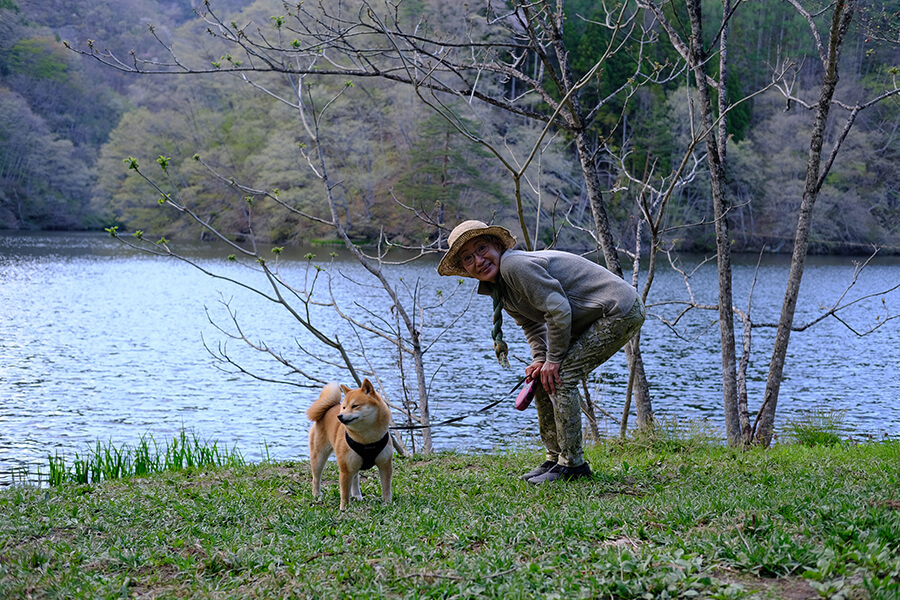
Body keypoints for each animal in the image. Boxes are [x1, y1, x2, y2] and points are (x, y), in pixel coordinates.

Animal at [308, 378, 392, 508]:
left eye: (355, 406)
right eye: (344, 407)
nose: (339, 416)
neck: (367, 438)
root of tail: (329, 408)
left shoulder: (385, 465)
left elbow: (386, 488)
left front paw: (388, 503)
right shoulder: (345, 469)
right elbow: (344, 492)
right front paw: (344, 507)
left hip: (355, 462)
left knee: (355, 478)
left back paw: (357, 495)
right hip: (319, 458)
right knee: (316, 478)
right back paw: (316, 494)